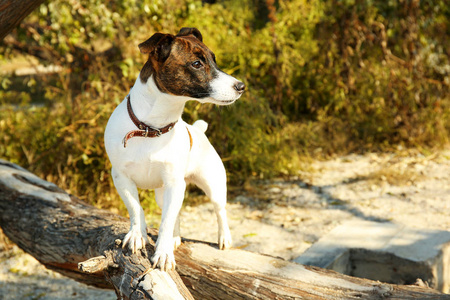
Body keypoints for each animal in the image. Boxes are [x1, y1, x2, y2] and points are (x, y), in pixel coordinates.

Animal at [103, 28, 246, 270]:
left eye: (214, 60)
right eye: (197, 63)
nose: (241, 86)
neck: (151, 128)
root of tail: (198, 129)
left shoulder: (174, 182)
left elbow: (166, 222)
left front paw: (163, 252)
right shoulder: (121, 178)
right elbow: (136, 208)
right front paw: (137, 234)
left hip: (213, 185)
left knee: (220, 211)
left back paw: (223, 238)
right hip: (164, 192)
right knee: (175, 212)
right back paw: (176, 237)